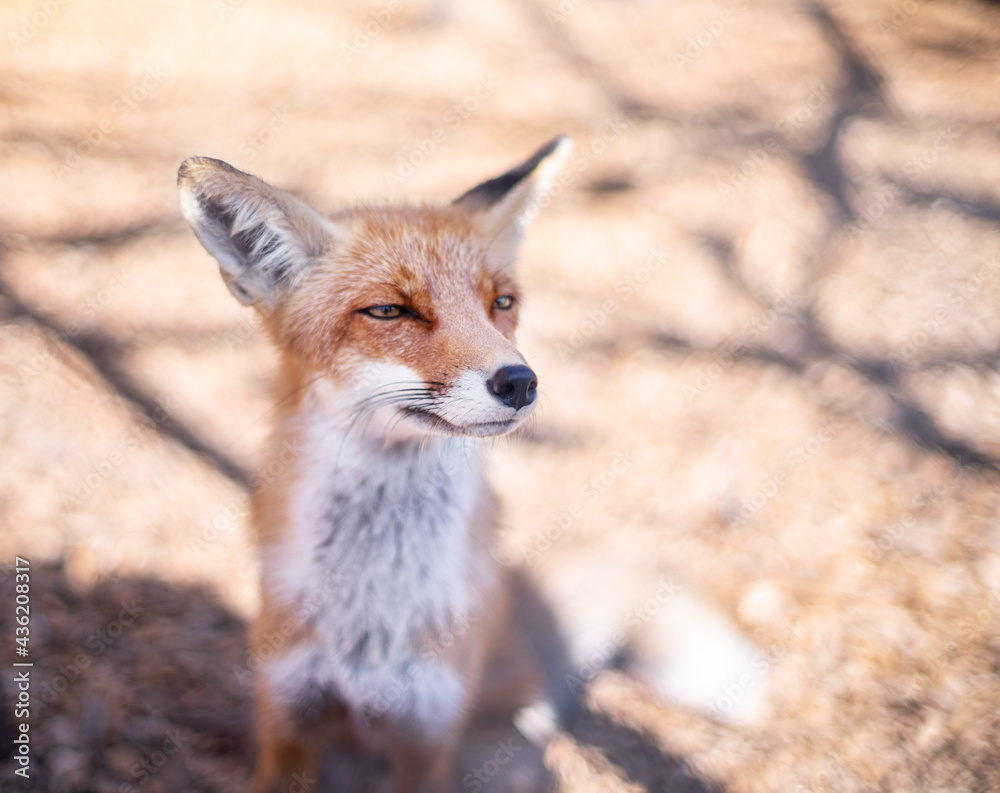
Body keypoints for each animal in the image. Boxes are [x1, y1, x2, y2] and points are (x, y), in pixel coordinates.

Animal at [177, 136, 574, 793]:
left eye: (501, 303)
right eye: (390, 311)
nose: (520, 382)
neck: (369, 623)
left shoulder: (427, 732)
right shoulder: (289, 713)